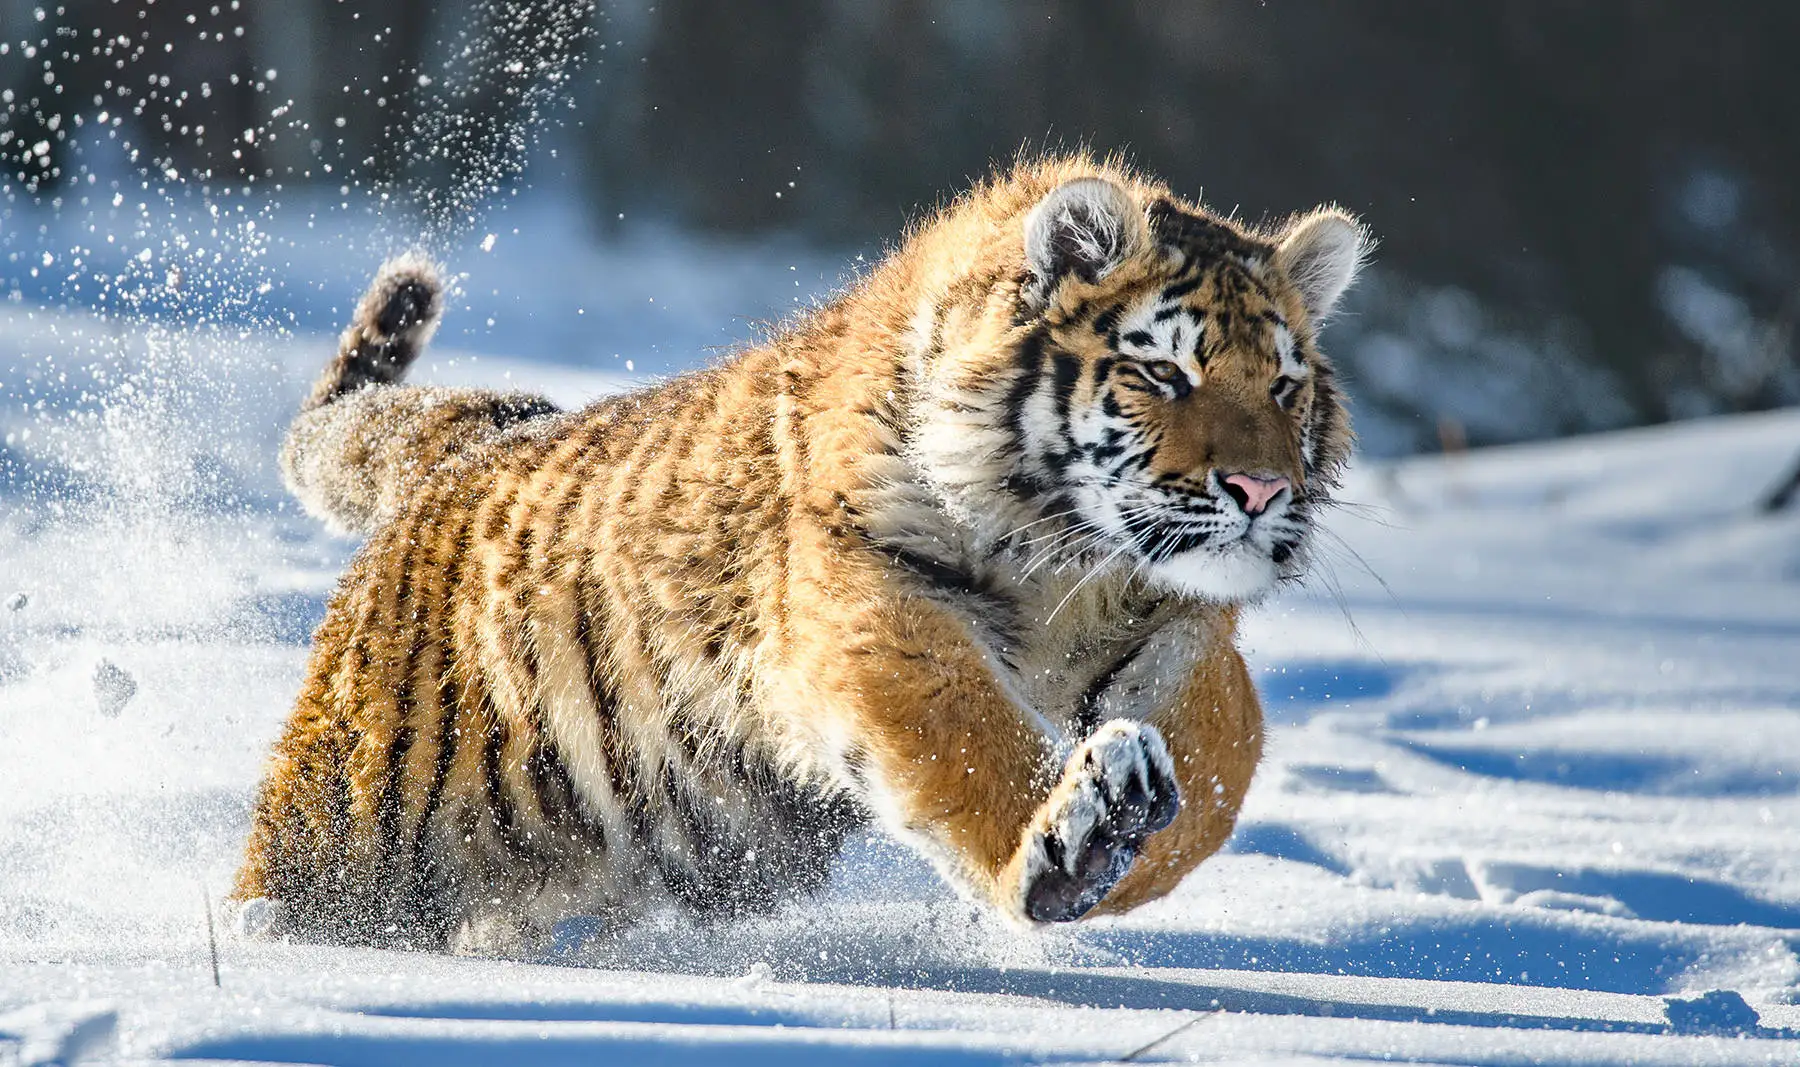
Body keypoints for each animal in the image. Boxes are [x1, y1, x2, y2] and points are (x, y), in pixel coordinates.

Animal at [232, 149, 1368, 950]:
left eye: (1283, 385)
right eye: (1163, 373)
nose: (1262, 490)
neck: (1066, 558)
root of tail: (471, 444)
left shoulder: (1173, 623)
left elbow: (1222, 760)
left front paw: (1136, 835)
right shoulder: (871, 605)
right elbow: (968, 737)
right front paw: (1070, 844)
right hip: (349, 824)